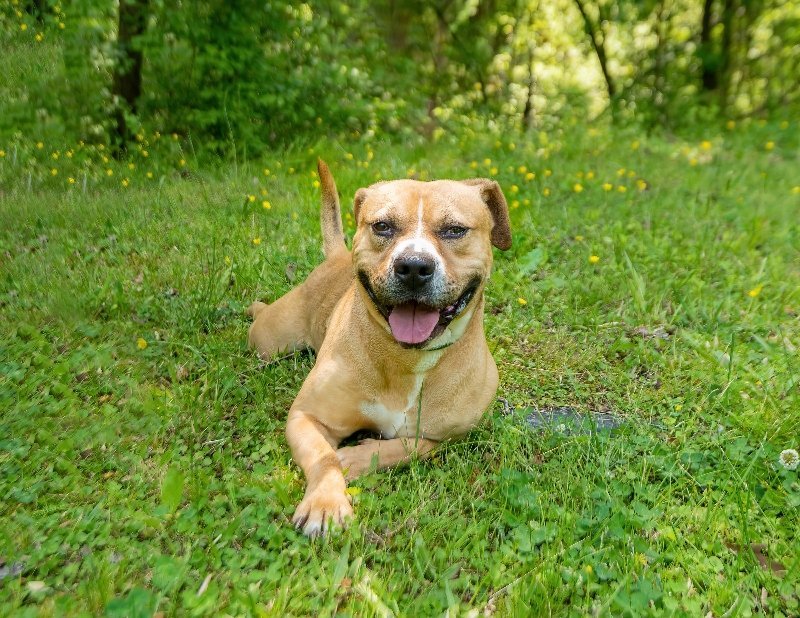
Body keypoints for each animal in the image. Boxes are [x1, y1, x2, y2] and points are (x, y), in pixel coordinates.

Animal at [247, 160, 512, 536]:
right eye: (382, 226)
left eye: (455, 230)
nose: (413, 266)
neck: (407, 358)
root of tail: (338, 256)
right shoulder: (306, 417)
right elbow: (323, 457)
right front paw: (326, 501)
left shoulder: (448, 435)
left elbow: (407, 447)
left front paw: (354, 458)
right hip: (269, 340)